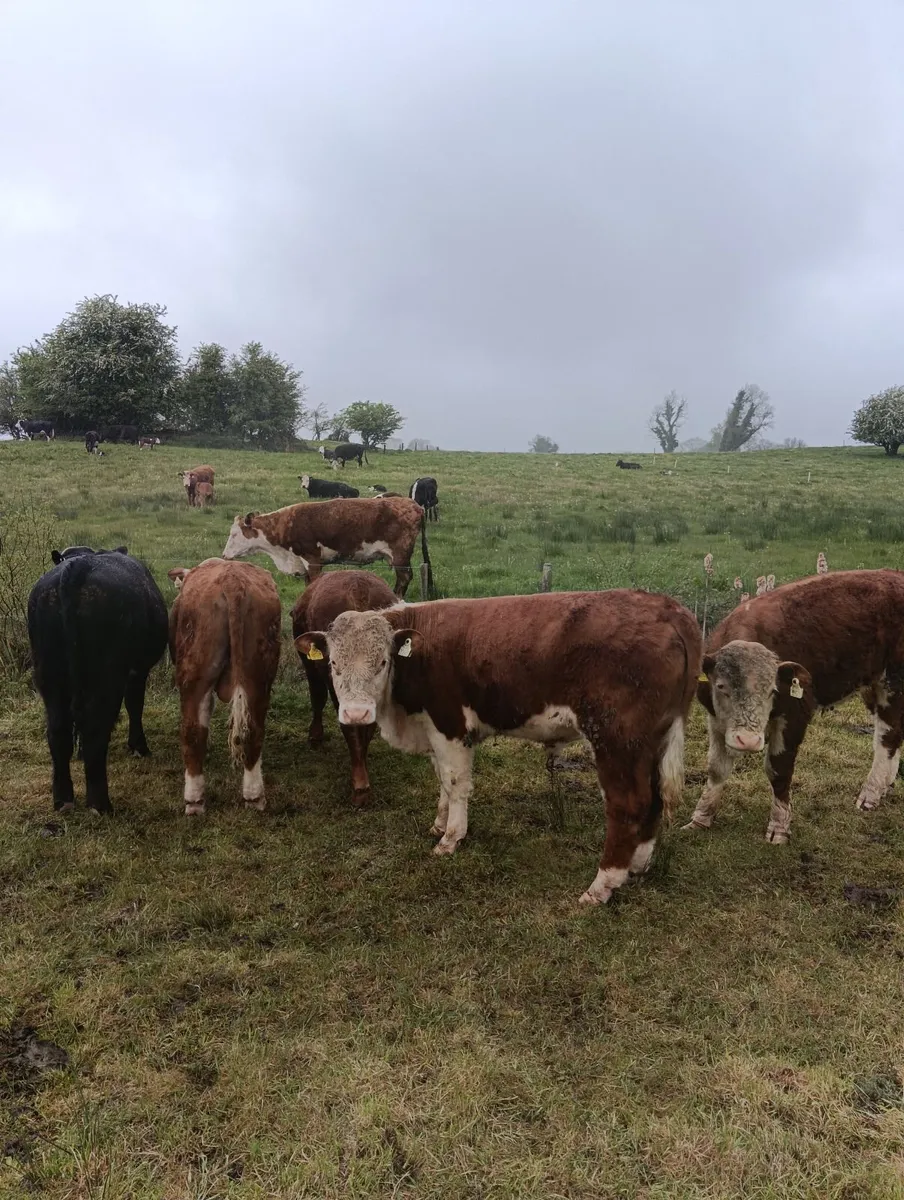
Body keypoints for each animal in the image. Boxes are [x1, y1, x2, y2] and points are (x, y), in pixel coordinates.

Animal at [27, 546, 168, 814]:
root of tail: (77, 567)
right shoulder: (137, 671)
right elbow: (135, 706)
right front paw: (138, 746)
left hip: (49, 674)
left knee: (58, 730)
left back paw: (63, 799)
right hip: (106, 676)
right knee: (95, 728)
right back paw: (99, 804)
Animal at [167, 559, 281, 815]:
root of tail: (232, 582)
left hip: (194, 676)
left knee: (192, 731)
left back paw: (194, 799)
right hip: (258, 676)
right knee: (253, 730)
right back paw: (254, 796)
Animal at [222, 496, 431, 598]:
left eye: (234, 534)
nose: (224, 555)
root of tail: (414, 504)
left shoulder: (312, 559)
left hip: (400, 555)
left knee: (404, 578)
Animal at [295, 589, 701, 904]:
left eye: (382, 662)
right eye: (333, 663)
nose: (357, 713)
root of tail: (668, 608)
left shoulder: (450, 725)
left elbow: (456, 783)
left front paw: (451, 838)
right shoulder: (431, 729)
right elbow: (442, 781)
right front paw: (439, 823)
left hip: (616, 738)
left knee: (627, 805)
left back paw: (602, 886)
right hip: (651, 741)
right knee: (653, 799)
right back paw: (638, 865)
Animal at [685, 569, 904, 845]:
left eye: (773, 691)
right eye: (721, 686)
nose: (748, 740)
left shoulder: (795, 715)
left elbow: (779, 771)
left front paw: (778, 827)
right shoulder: (715, 719)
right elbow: (716, 768)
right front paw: (700, 818)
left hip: (892, 682)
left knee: (888, 736)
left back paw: (871, 794)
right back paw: (885, 785)